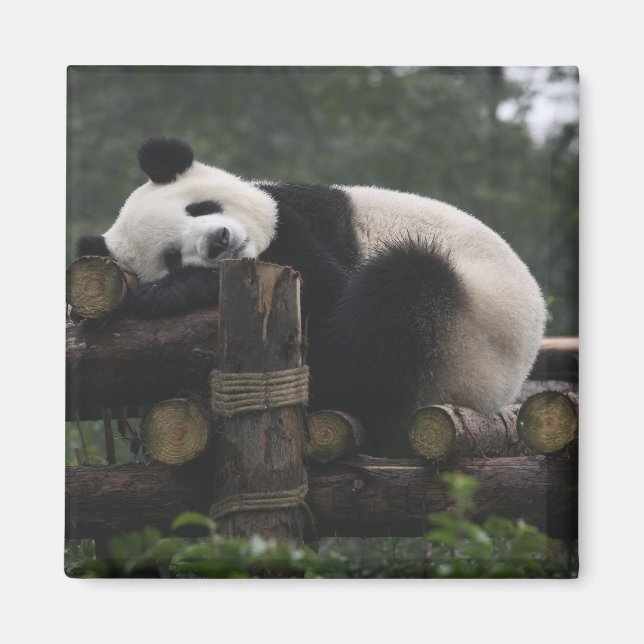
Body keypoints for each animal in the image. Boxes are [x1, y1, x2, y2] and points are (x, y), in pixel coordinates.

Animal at [77, 137, 546, 454]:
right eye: (172, 257)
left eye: (200, 207)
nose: (218, 242)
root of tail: (499, 392)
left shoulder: (299, 218)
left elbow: (326, 294)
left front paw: (168, 294)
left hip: (468, 333)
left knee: (400, 292)